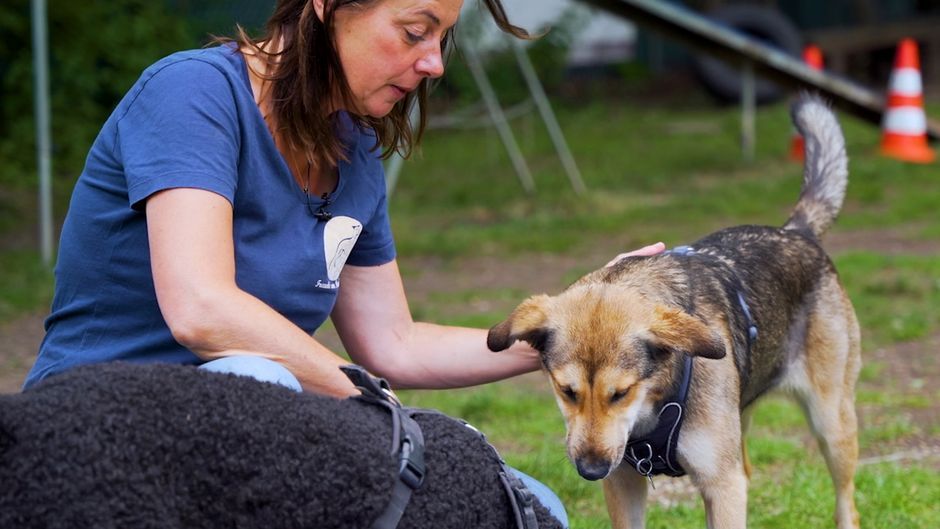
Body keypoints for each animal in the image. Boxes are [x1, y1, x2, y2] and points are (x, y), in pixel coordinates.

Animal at [488, 96, 864, 528]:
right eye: (567, 392)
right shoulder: (624, 482)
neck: (654, 406)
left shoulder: (722, 484)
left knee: (846, 501)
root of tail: (795, 232)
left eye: (620, 393)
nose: (590, 470)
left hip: (831, 425)